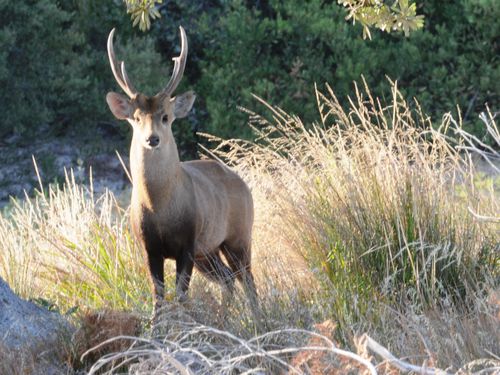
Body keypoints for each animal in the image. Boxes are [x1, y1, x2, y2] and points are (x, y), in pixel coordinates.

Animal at [104, 27, 256, 314]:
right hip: (208, 251)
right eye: (136, 118)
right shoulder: (149, 247)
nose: (152, 139)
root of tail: (243, 184)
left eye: (165, 117)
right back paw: (224, 317)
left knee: (248, 280)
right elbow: (158, 297)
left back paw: (257, 317)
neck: (160, 208)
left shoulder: (187, 242)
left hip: (239, 235)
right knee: (228, 279)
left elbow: (182, 294)